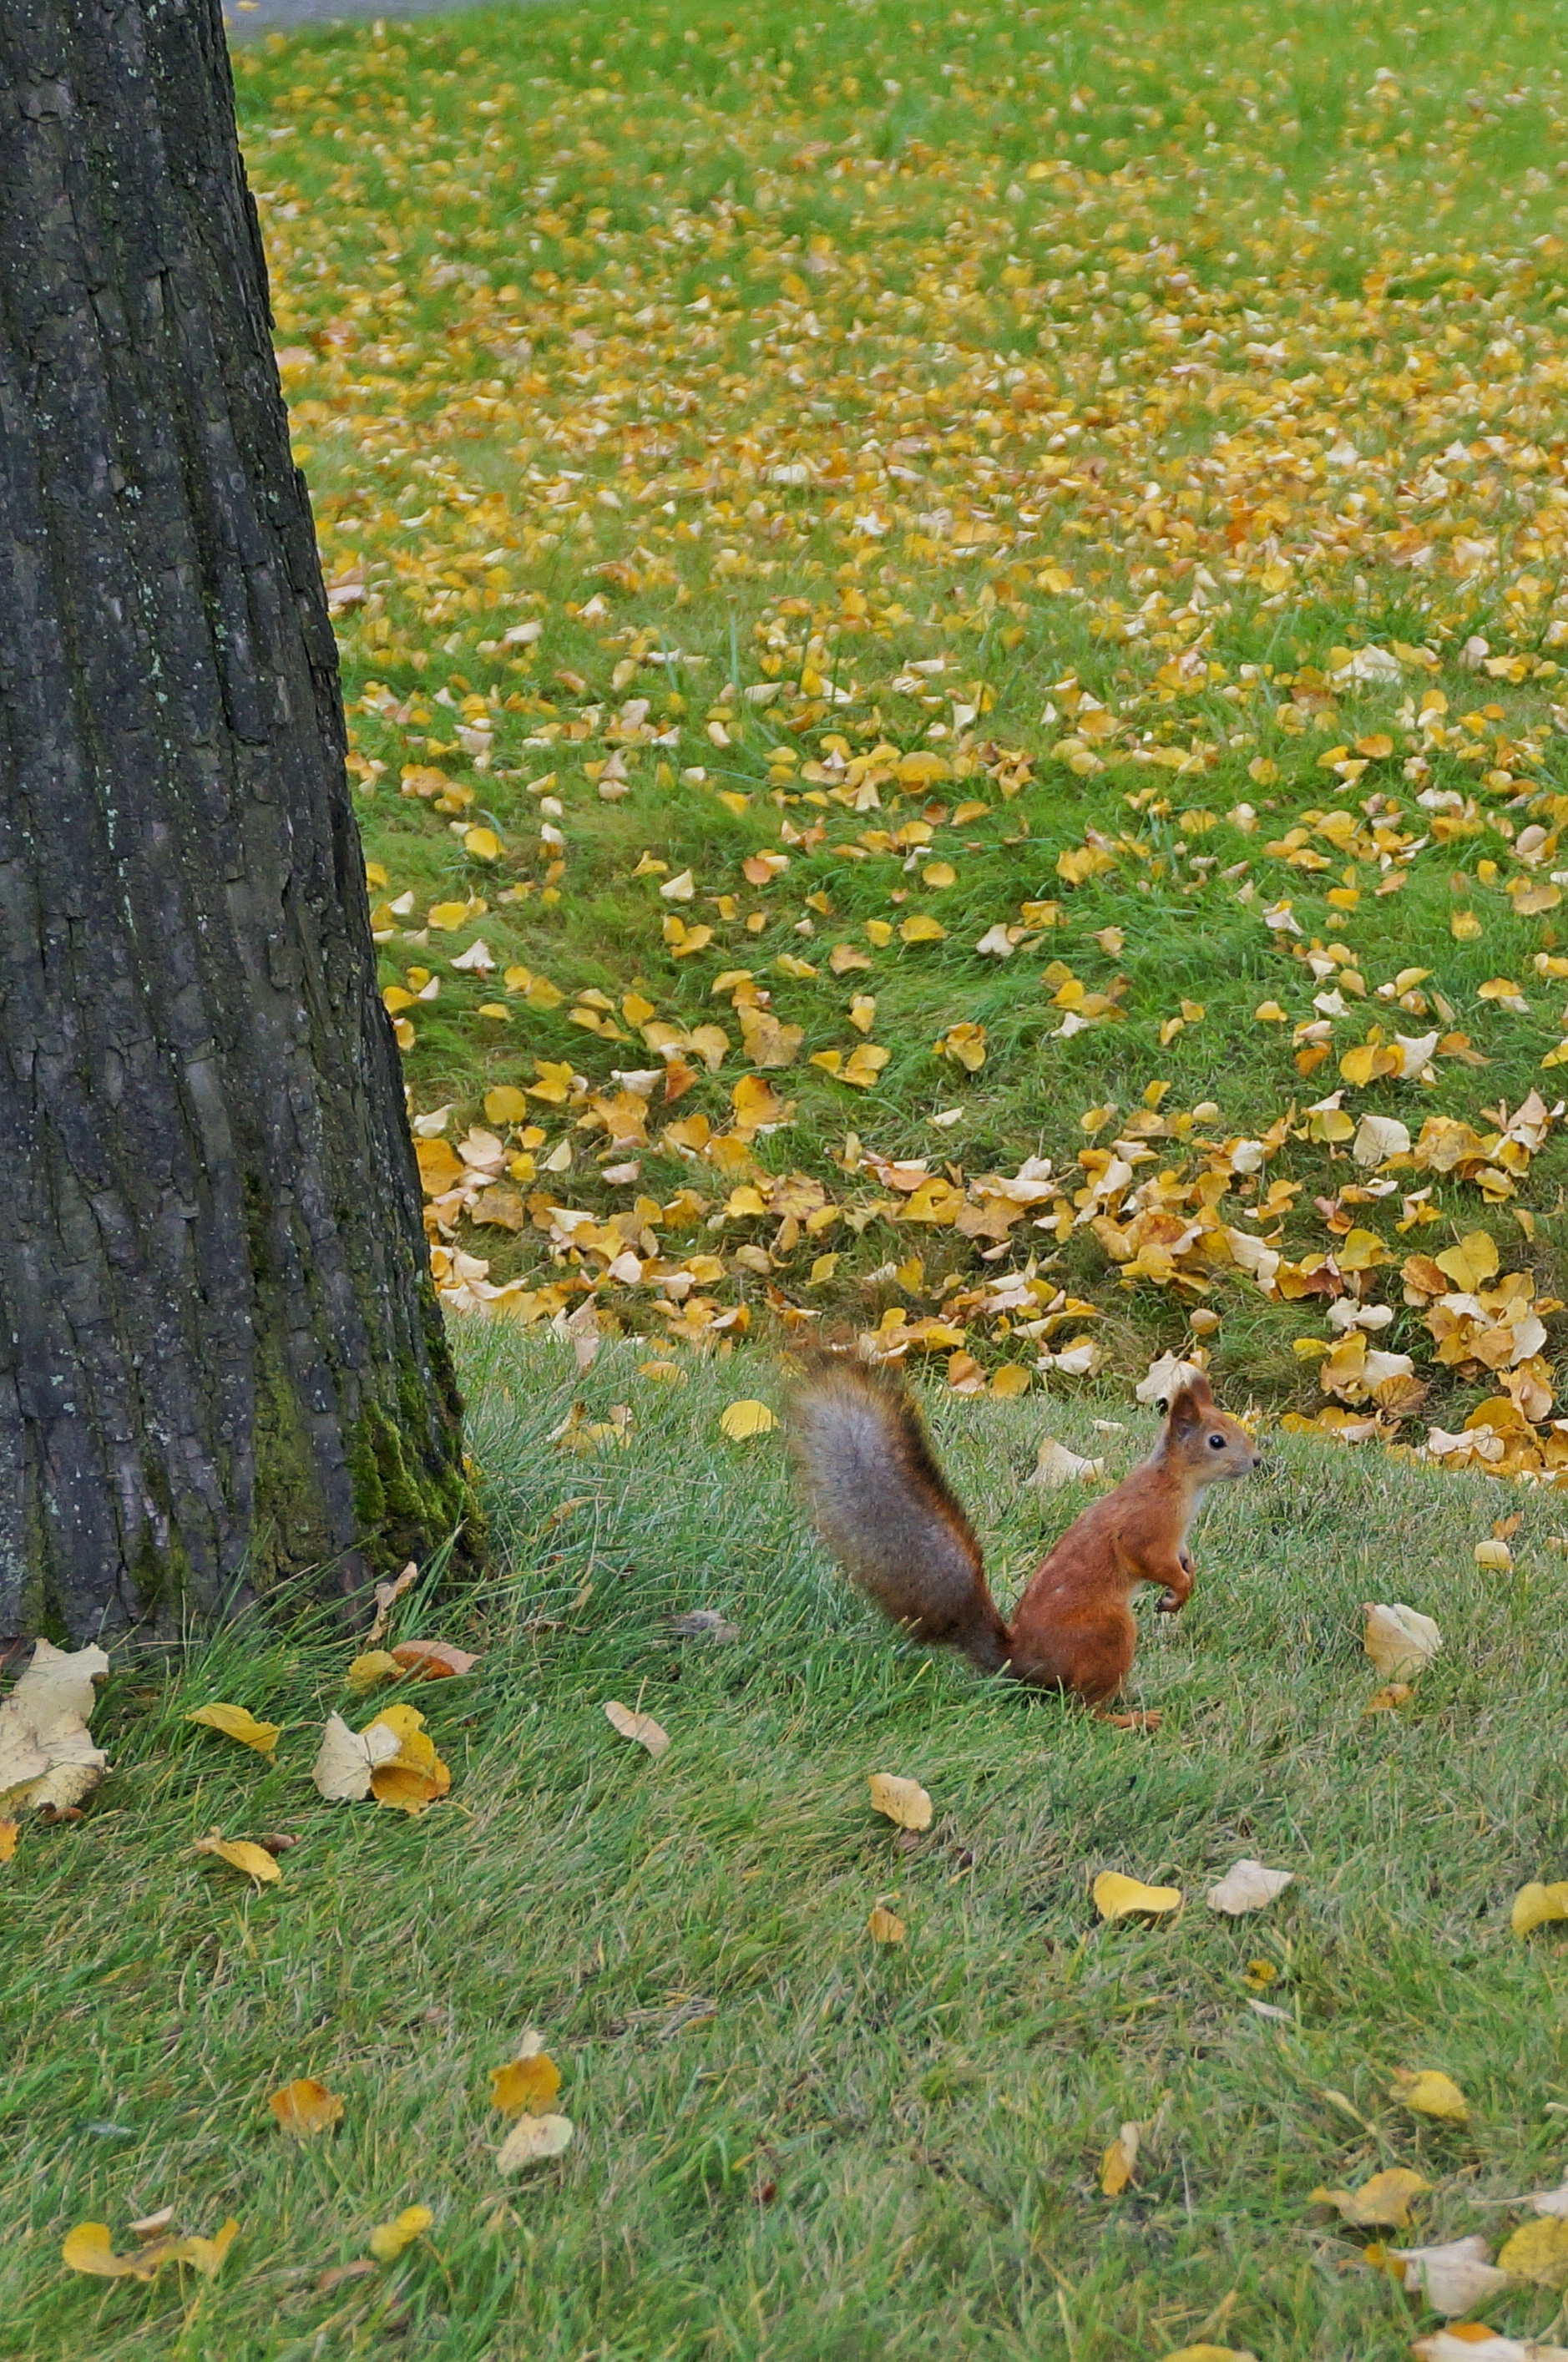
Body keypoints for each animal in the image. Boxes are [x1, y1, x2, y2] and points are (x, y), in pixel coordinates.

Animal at [784, 1360, 1265, 1710]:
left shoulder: (1175, 1538)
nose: (1258, 1461)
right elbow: (1150, 1559)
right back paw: (1131, 1718)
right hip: (1109, 1633)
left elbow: (1182, 1557)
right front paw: (1179, 1590)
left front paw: (1188, 1575)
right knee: (1082, 1710)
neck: (1180, 1485)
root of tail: (1027, 1663)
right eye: (1217, 1441)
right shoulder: (1147, 1527)